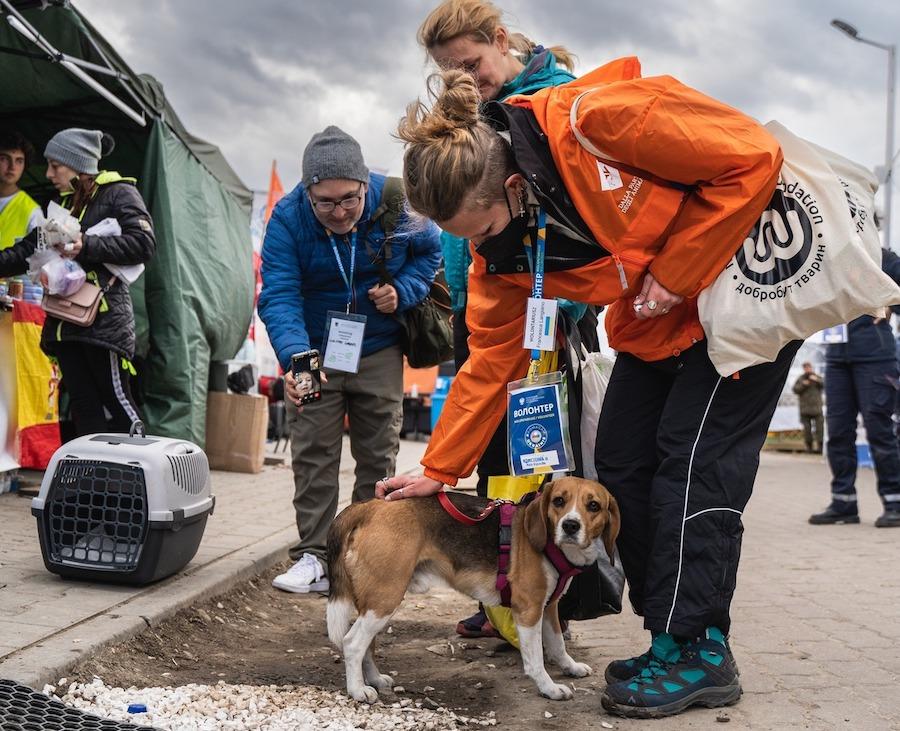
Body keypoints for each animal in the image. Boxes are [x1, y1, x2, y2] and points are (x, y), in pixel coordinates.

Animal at [326, 478, 624, 700]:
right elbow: (536, 658)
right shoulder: (529, 610)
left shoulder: (549, 607)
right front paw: (548, 688)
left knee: (366, 643)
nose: (571, 526)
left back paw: (375, 679)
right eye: (559, 501)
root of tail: (370, 506)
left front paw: (570, 667)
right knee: (352, 642)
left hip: (376, 600)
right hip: (385, 598)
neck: (551, 545)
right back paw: (358, 690)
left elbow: (558, 645)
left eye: (594, 506)